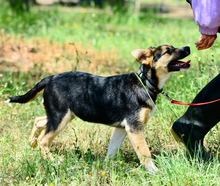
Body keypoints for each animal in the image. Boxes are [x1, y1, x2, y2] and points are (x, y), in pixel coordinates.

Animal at [6, 44, 190, 174]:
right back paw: (52, 161)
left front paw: (106, 167)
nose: (188, 47)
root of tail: (50, 78)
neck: (145, 83)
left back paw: (31, 144)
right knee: (44, 140)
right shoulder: (134, 127)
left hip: (62, 115)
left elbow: (112, 149)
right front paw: (155, 172)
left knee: (38, 122)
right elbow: (144, 153)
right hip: (60, 117)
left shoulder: (122, 128)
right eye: (168, 51)